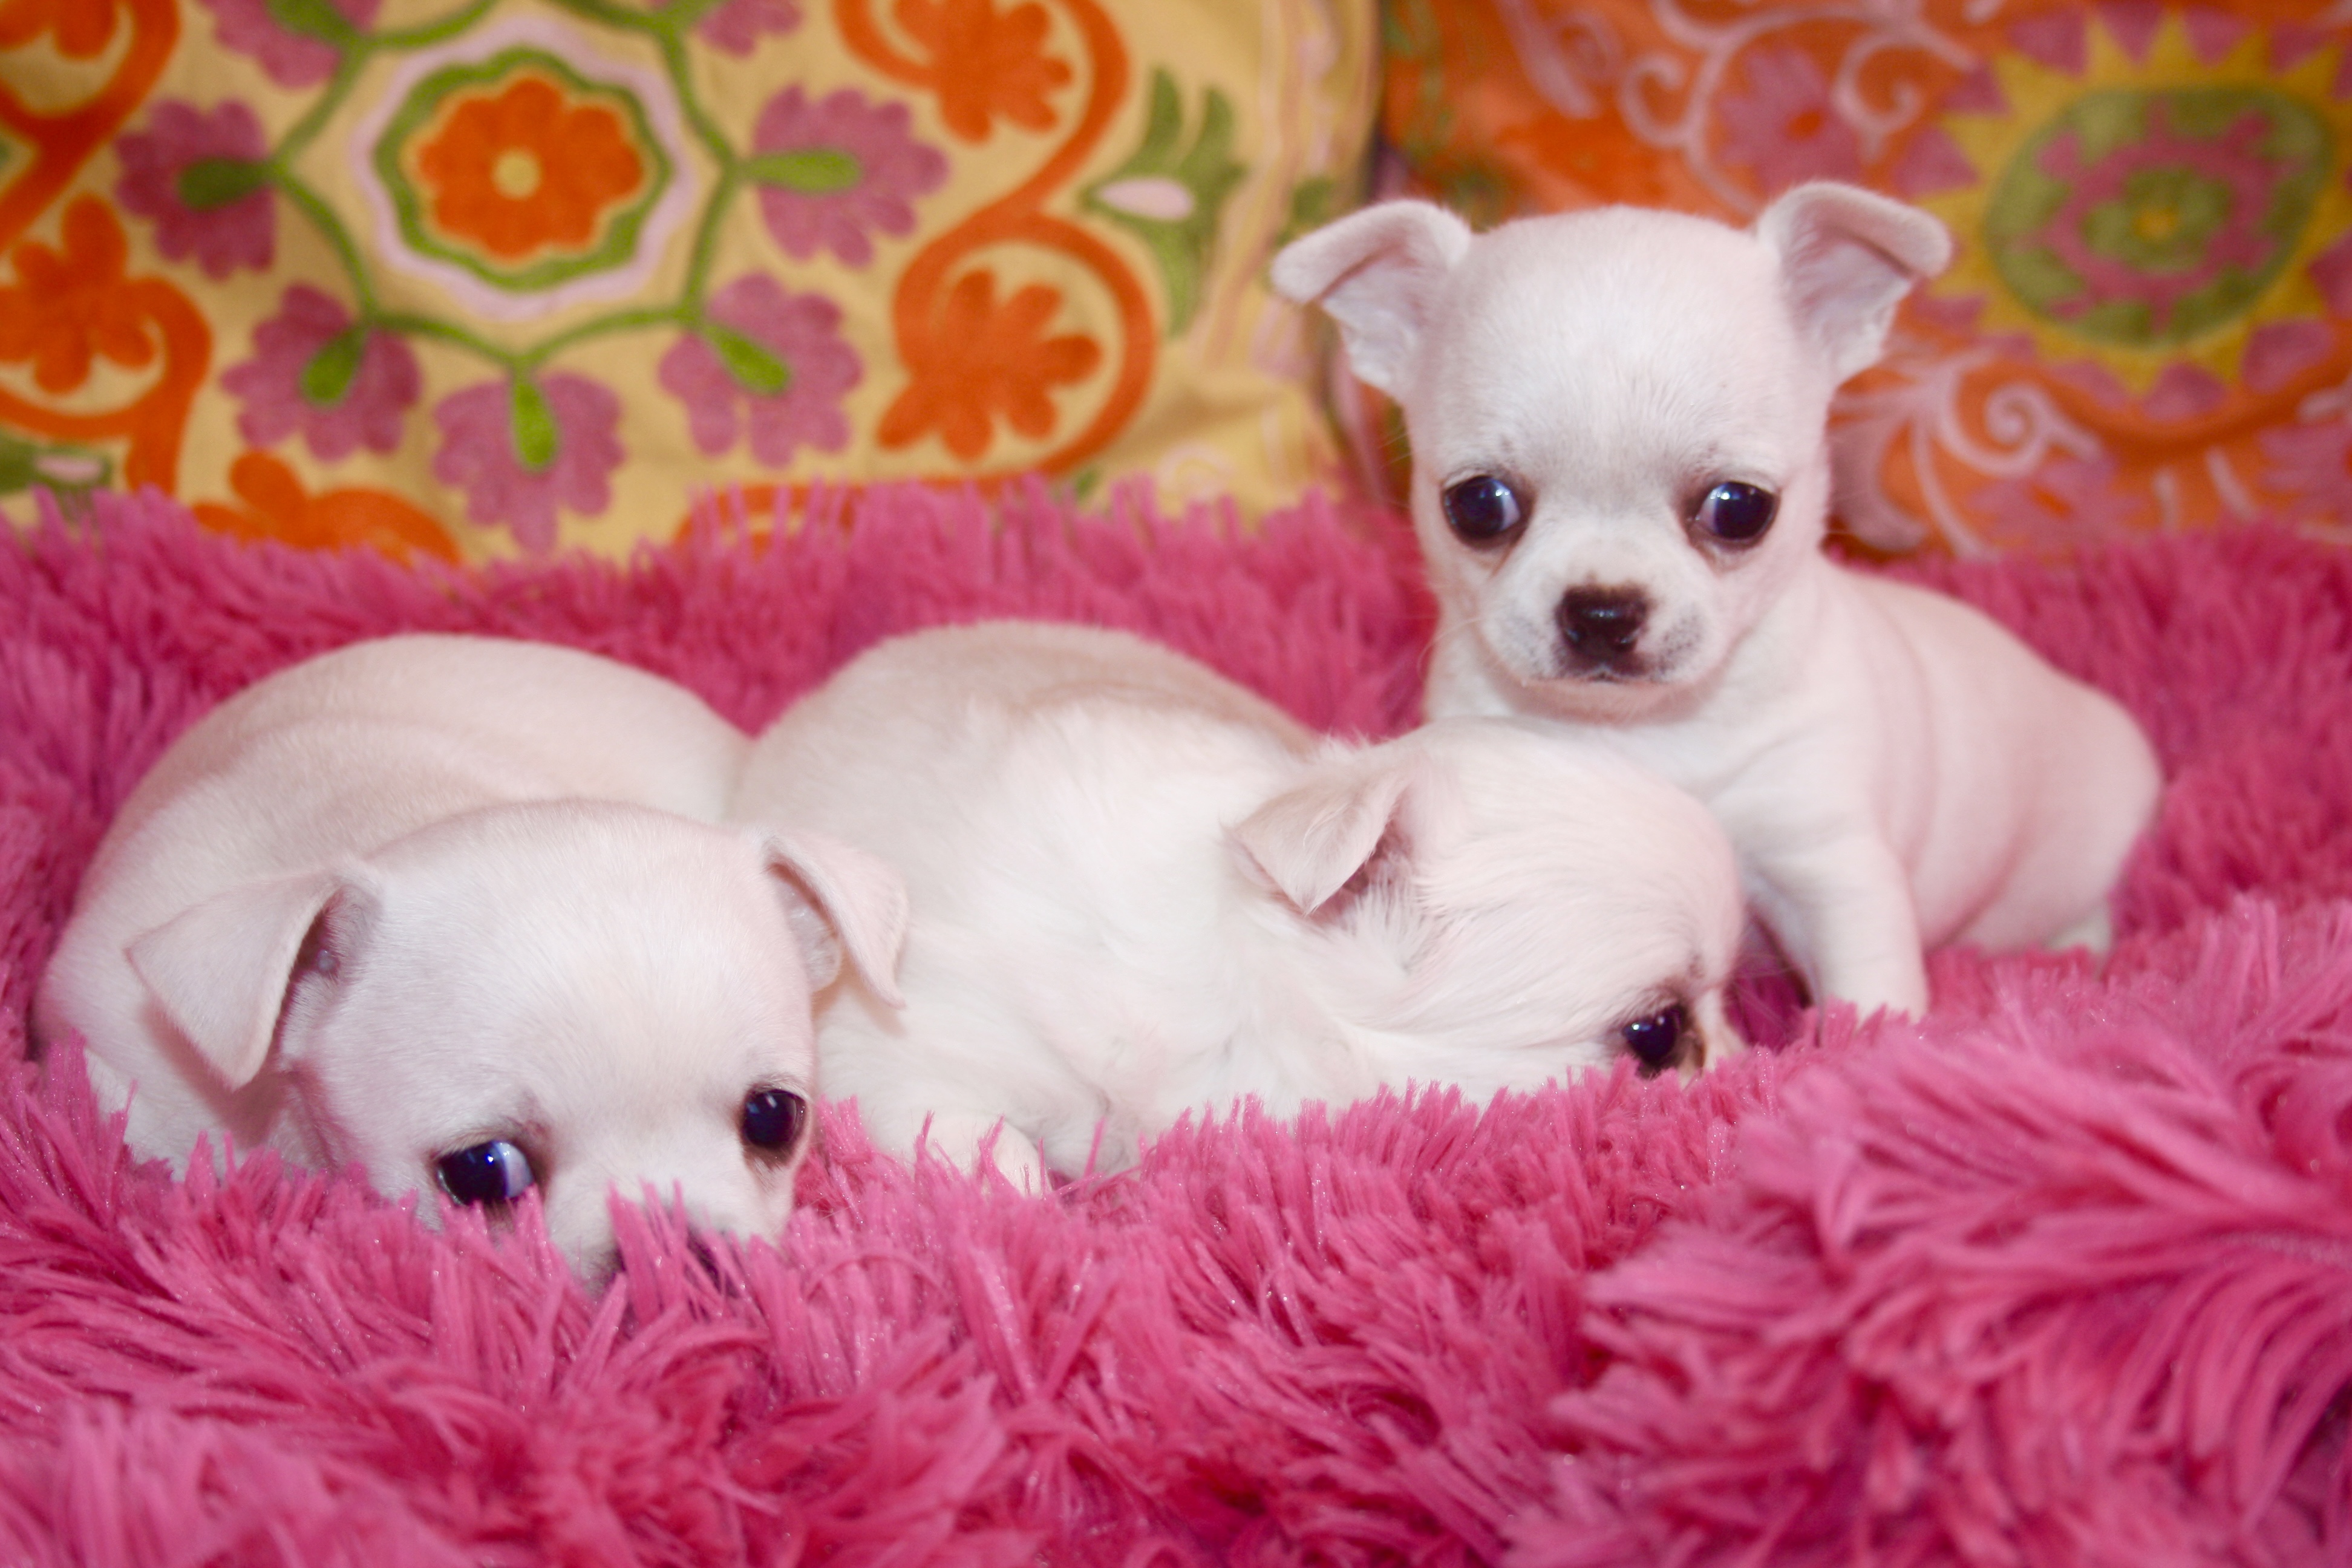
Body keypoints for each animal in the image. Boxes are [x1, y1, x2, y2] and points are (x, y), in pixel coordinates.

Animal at [1272, 182, 2163, 1018]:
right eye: (1477, 505)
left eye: (1740, 509)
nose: (1603, 610)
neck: (1647, 732)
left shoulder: (1829, 864)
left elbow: (1868, 993)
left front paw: (1869, 1051)